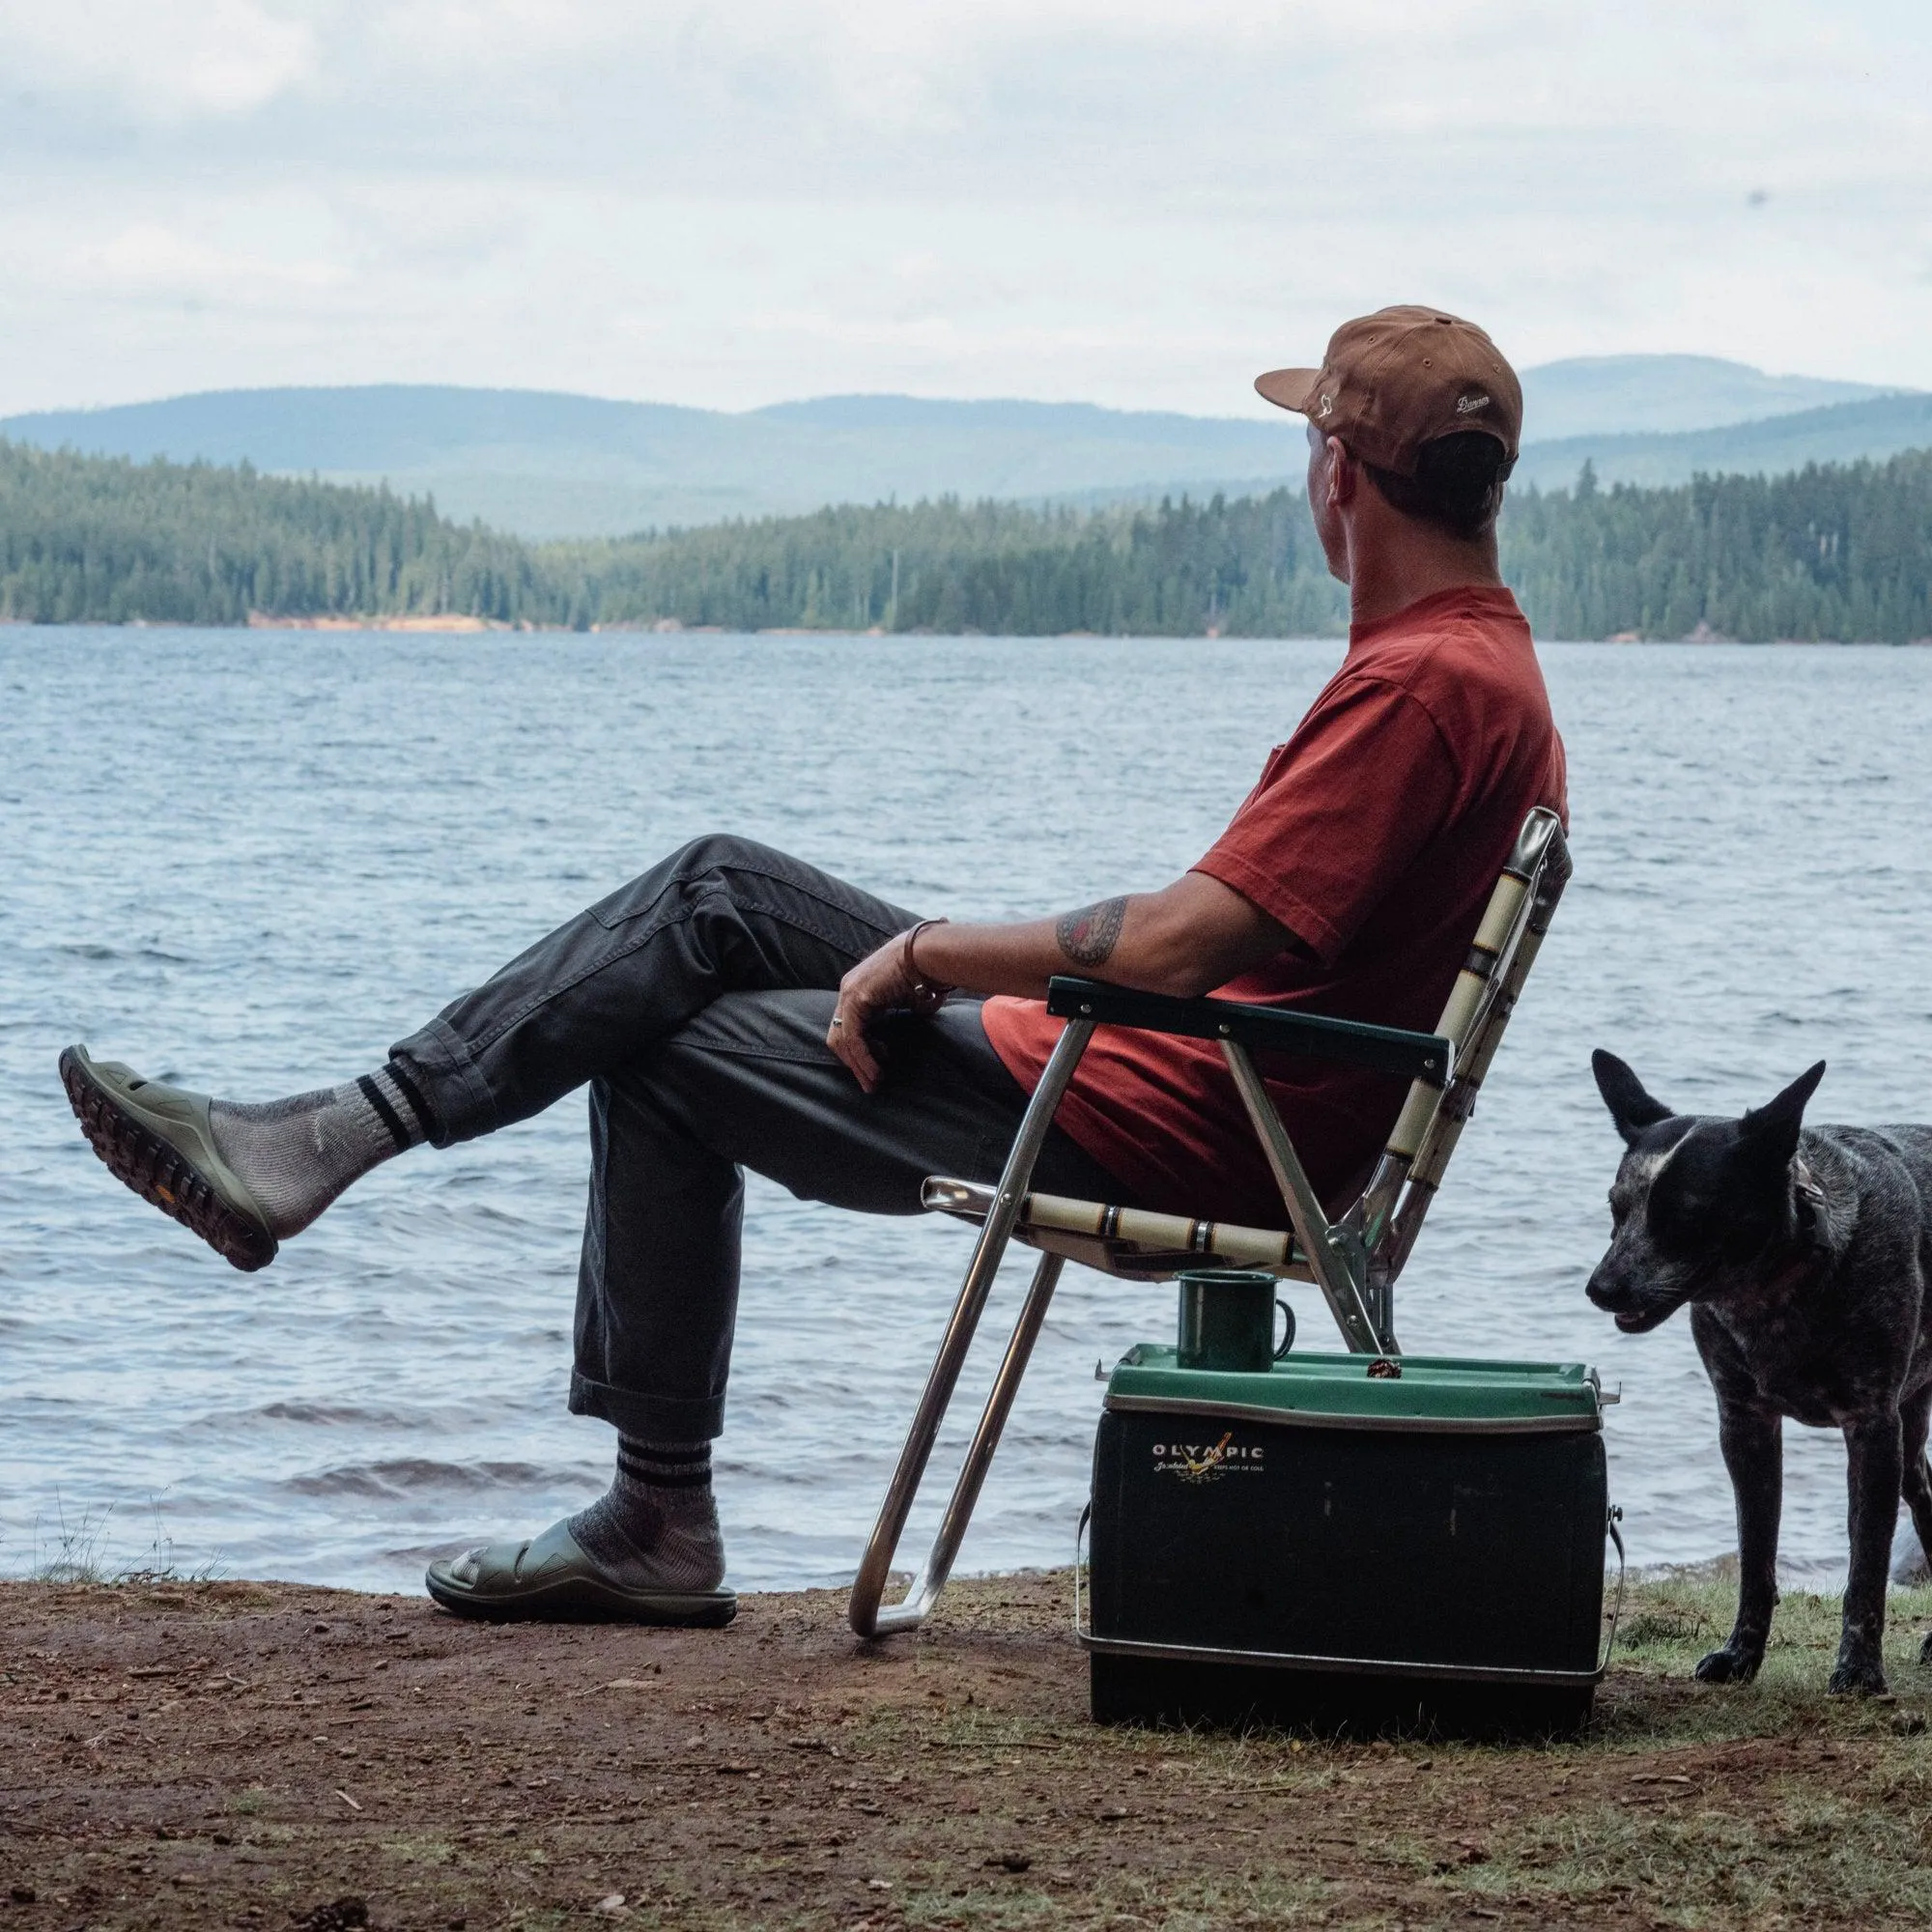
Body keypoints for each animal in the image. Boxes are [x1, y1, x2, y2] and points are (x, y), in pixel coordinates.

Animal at [1584, 1051, 1932, 1700]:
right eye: (1617, 1208)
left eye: (1684, 1213)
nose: (1601, 1289)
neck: (1774, 1289)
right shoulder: (1745, 1423)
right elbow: (1755, 1554)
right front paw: (1741, 1655)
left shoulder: (1871, 1426)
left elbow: (1866, 1565)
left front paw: (1859, 1669)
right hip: (1912, 1431)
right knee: (1924, 1495)